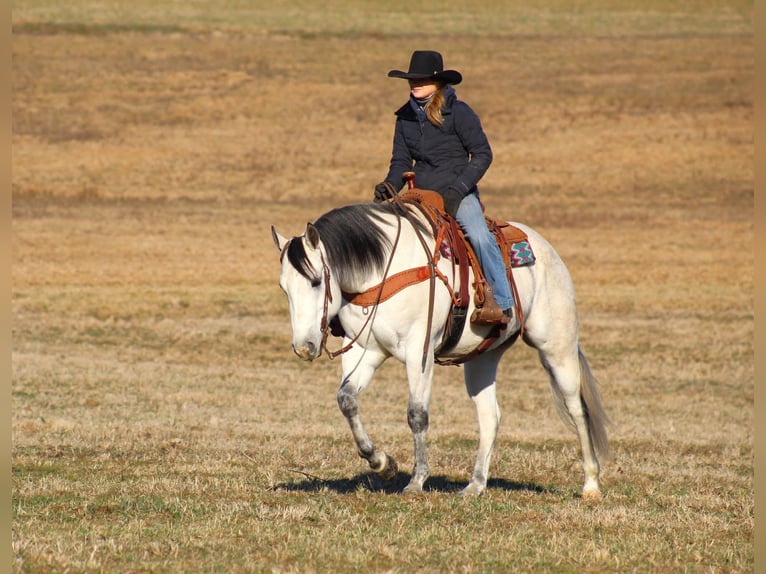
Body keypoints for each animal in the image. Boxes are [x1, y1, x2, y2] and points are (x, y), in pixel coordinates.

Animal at [272, 200, 608, 498]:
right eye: (283, 288)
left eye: (316, 282)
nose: (304, 347)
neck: (383, 270)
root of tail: (546, 250)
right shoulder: (366, 351)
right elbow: (347, 400)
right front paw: (382, 463)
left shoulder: (418, 352)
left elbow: (417, 414)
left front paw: (417, 480)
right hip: (483, 359)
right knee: (490, 416)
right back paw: (475, 485)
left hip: (557, 348)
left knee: (577, 409)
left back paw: (591, 484)